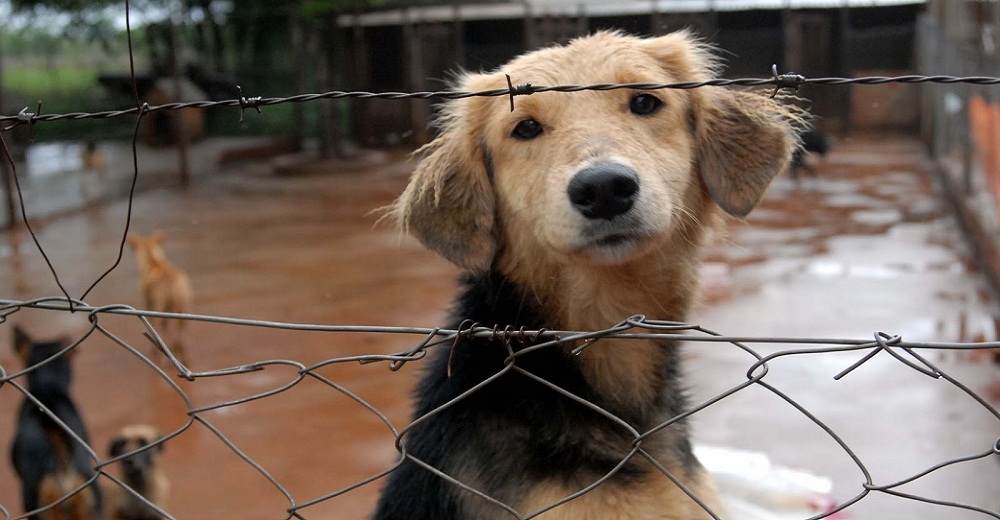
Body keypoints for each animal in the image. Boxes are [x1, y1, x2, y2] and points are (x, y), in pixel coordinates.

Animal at [126, 232, 192, 366]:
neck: (153, 260)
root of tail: (172, 281)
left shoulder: (148, 302)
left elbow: (151, 323)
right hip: (183, 307)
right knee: (181, 330)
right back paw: (181, 353)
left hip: (161, 306)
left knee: (166, 330)